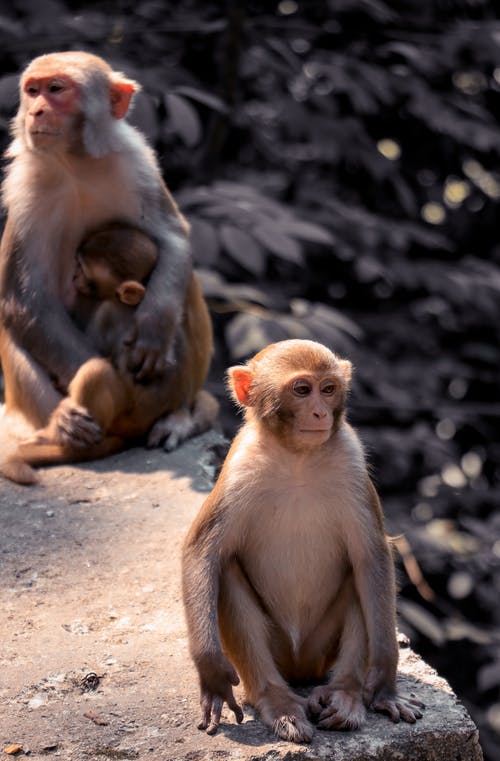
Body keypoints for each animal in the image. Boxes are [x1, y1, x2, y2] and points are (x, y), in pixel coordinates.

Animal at [0, 49, 209, 452]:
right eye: (32, 91)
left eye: (55, 89)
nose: (36, 111)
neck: (75, 163)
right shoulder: (22, 188)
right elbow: (24, 298)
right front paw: (100, 391)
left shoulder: (138, 163)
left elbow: (173, 237)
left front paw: (154, 328)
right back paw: (56, 427)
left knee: (185, 283)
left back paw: (177, 415)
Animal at [1, 223, 218, 484]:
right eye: (78, 266)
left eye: (88, 276)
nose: (74, 278)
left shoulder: (106, 311)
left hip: (126, 416)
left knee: (96, 372)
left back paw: (59, 437)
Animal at [182, 340, 424, 744]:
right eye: (301, 389)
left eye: (328, 389)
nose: (319, 412)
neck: (297, 458)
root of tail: (299, 668)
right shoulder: (239, 467)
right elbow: (203, 552)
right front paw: (212, 671)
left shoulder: (351, 461)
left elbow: (371, 557)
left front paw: (384, 685)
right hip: (280, 652)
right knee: (227, 571)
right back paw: (277, 701)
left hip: (319, 652)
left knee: (359, 577)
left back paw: (345, 694)